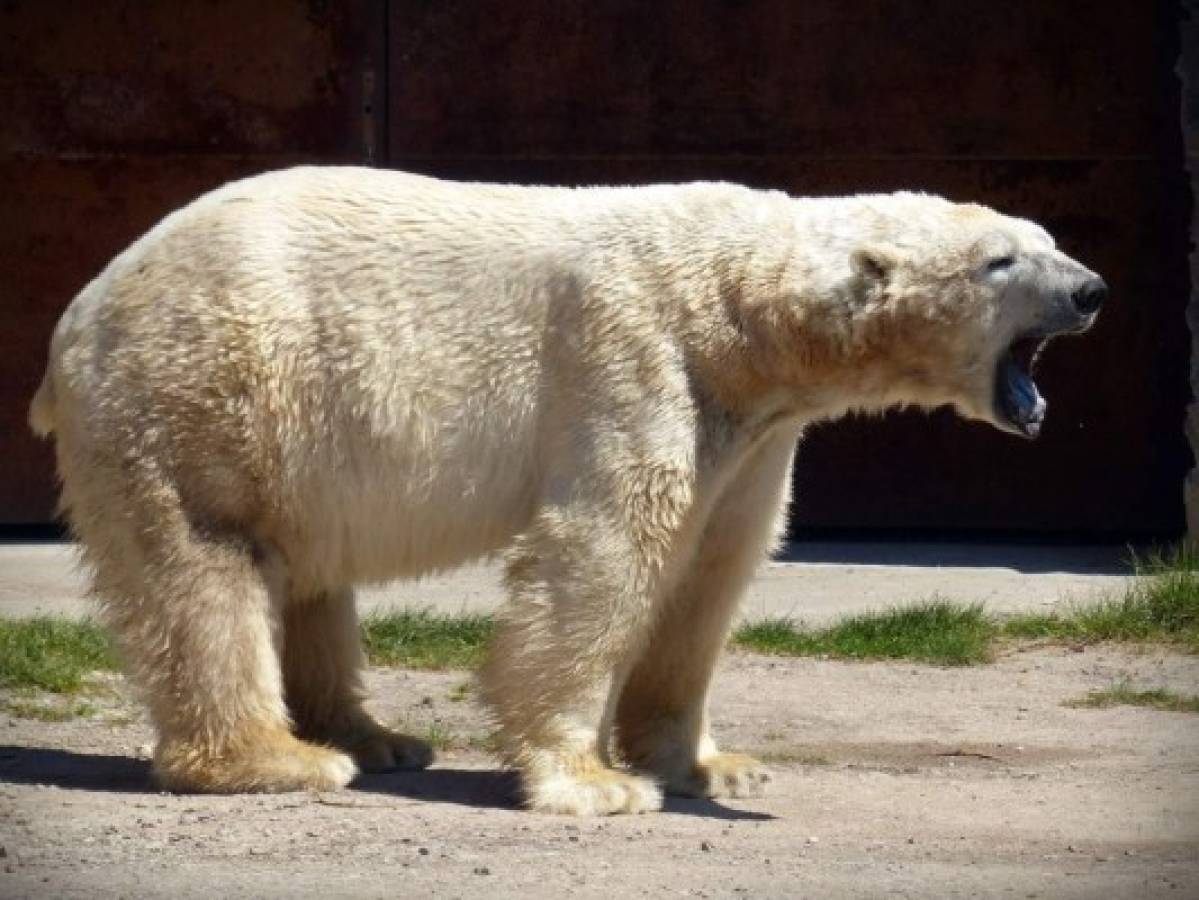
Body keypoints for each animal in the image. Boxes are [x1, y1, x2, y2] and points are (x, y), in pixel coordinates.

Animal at [29, 167, 1104, 814]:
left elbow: (711, 572)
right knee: (207, 566)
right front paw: (591, 780)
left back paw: (377, 738)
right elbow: (604, 552)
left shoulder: (752, 432)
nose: (1090, 289)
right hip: (205, 393)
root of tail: (78, 315)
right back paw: (277, 758)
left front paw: (712, 762)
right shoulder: (633, 358)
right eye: (999, 260)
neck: (740, 308)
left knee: (307, 576)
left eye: (1041, 235)